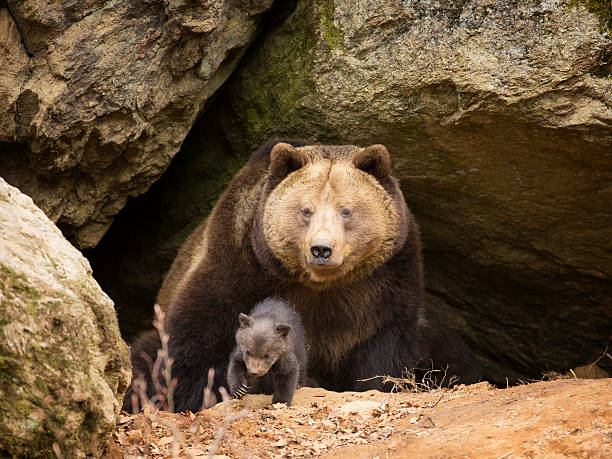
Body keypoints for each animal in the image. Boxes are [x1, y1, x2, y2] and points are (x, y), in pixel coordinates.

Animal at [124, 138, 478, 412]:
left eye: (346, 210)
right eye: (305, 210)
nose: (321, 249)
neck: (319, 285)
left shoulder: (384, 286)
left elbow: (383, 353)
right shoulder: (238, 269)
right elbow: (188, 347)